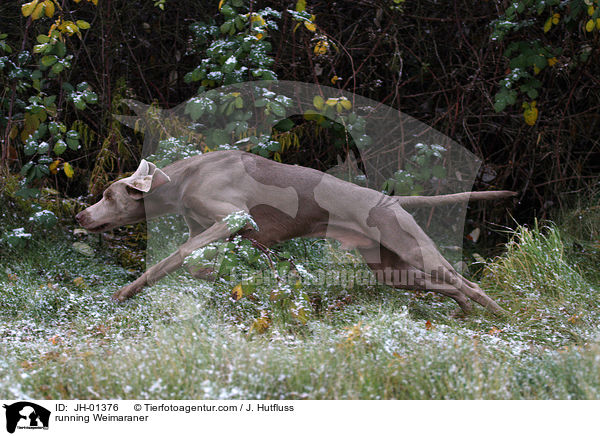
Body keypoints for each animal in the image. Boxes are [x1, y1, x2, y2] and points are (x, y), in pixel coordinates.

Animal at [76, 150, 516, 314]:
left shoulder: (233, 218)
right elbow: (197, 264)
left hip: (412, 249)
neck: (184, 178)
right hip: (392, 270)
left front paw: (125, 292)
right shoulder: (216, 230)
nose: (80, 216)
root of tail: (390, 201)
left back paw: (498, 316)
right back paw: (464, 309)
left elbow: (173, 258)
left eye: (108, 195)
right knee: (448, 287)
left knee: (466, 281)